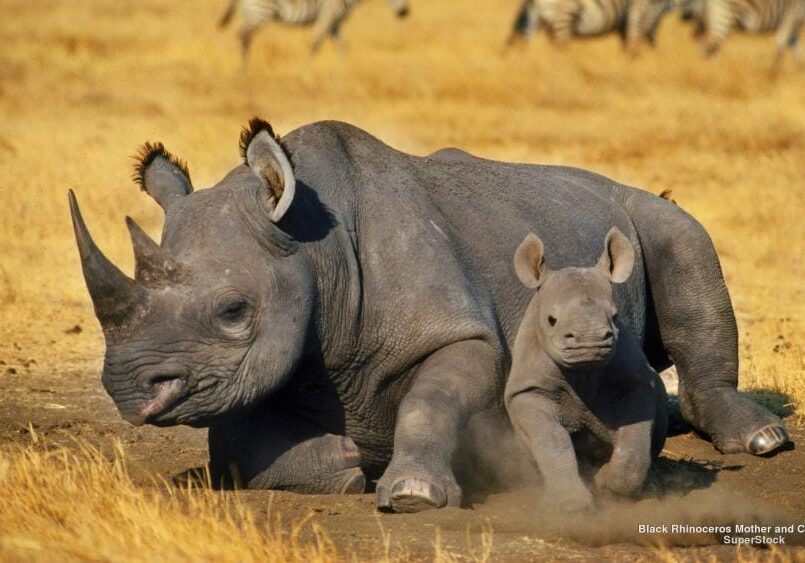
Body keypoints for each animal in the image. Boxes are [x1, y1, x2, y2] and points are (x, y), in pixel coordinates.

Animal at [505, 228, 667, 513]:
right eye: (551, 320)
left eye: (615, 317)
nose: (590, 341)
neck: (583, 370)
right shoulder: (529, 391)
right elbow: (552, 441)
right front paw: (571, 505)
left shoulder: (635, 383)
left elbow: (635, 438)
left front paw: (609, 488)